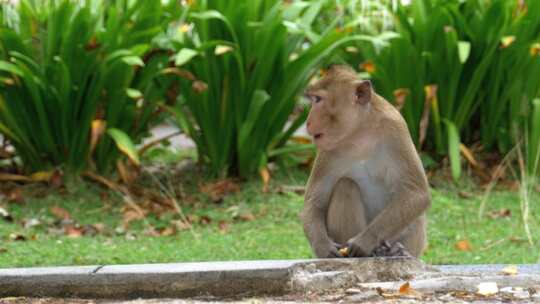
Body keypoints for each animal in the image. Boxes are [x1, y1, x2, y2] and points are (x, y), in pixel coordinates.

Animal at [302, 65, 432, 258]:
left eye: (318, 99)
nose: (308, 122)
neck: (360, 132)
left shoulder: (396, 130)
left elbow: (416, 194)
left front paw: (365, 241)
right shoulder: (327, 148)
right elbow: (314, 202)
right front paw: (323, 247)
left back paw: (392, 251)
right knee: (345, 186)